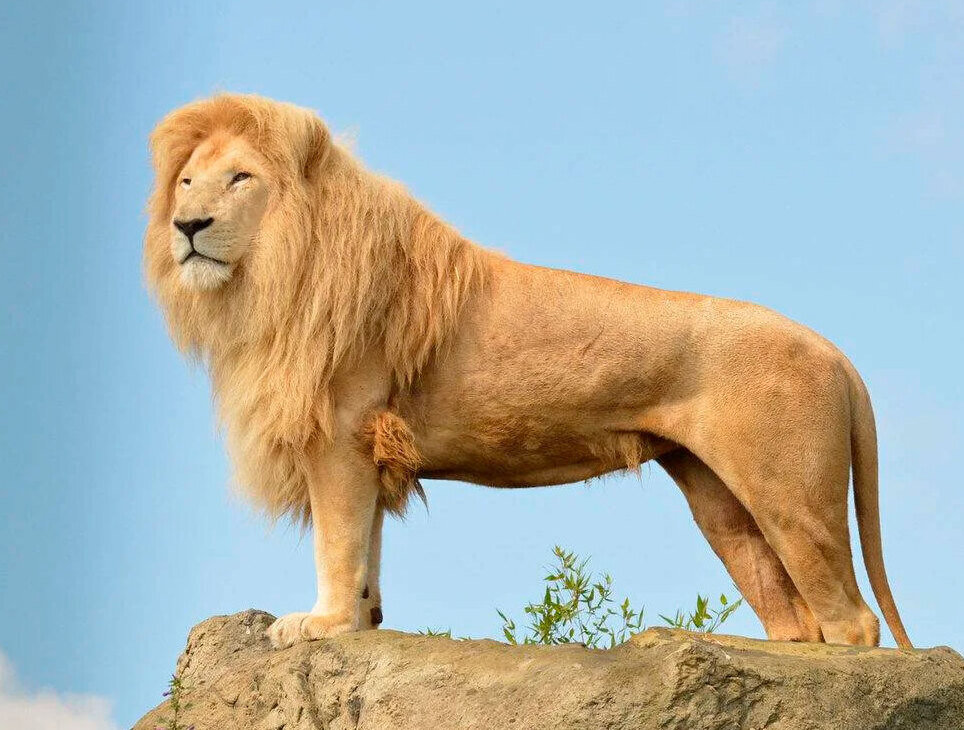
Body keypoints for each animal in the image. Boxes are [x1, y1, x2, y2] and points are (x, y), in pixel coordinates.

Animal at [144, 93, 912, 650]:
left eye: (240, 178)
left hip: (789, 494)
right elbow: (366, 546)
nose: (187, 225)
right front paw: (361, 621)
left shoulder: (340, 433)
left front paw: (321, 624)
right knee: (795, 617)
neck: (268, 278)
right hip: (721, 500)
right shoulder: (369, 446)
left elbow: (339, 541)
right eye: (185, 182)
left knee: (851, 620)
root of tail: (834, 350)